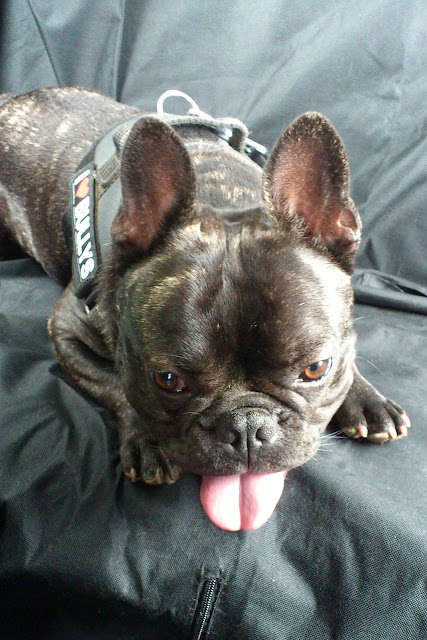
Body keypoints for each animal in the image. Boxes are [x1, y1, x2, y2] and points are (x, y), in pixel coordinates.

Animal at [0, 88, 410, 530]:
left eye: (316, 368)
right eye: (167, 380)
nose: (246, 427)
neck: (221, 196)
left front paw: (366, 399)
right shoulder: (66, 328)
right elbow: (116, 384)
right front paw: (145, 438)